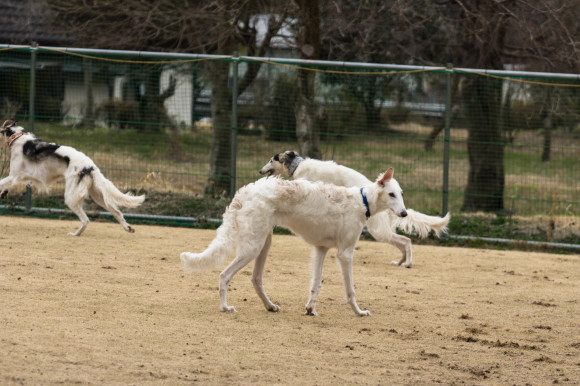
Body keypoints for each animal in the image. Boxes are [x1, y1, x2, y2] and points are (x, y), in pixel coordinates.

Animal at [0, 120, 145, 235]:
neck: (17, 137)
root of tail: (90, 166)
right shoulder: (18, 178)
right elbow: (4, 186)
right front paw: (3, 193)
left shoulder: (14, 176)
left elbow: (2, 182)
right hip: (97, 196)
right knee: (117, 212)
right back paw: (128, 228)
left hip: (71, 197)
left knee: (86, 220)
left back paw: (75, 234)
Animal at [182, 169, 408, 316]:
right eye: (391, 194)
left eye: (401, 194)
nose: (405, 213)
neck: (362, 201)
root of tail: (244, 192)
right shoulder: (345, 254)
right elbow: (350, 290)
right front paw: (359, 312)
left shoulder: (321, 249)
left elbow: (316, 284)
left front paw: (310, 309)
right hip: (252, 247)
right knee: (224, 275)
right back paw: (225, 307)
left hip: (264, 243)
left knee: (255, 278)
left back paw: (270, 306)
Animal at [260, 151, 450, 268]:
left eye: (271, 160)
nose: (261, 171)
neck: (298, 165)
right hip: (381, 231)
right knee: (403, 243)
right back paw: (400, 262)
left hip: (378, 231)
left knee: (407, 241)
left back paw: (408, 263)